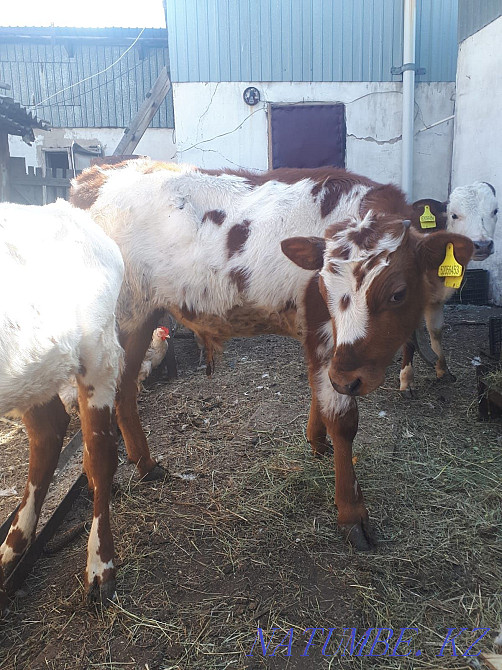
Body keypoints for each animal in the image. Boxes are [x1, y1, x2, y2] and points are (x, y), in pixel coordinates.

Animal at [0, 200, 124, 608]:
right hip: (32, 368)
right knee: (49, 427)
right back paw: (13, 548)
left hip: (97, 348)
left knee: (100, 451)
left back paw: (100, 566)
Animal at [71, 159, 474, 555]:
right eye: (324, 287)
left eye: (398, 294)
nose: (350, 378)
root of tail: (96, 175)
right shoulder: (324, 331)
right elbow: (342, 418)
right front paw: (352, 513)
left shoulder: (321, 341)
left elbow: (318, 388)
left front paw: (317, 442)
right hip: (114, 323)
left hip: (141, 317)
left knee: (125, 391)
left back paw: (144, 464)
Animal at [400, 182, 498, 394]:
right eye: (454, 215)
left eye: (495, 211)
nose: (482, 245)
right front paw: (407, 380)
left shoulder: (436, 299)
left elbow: (436, 332)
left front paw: (442, 369)